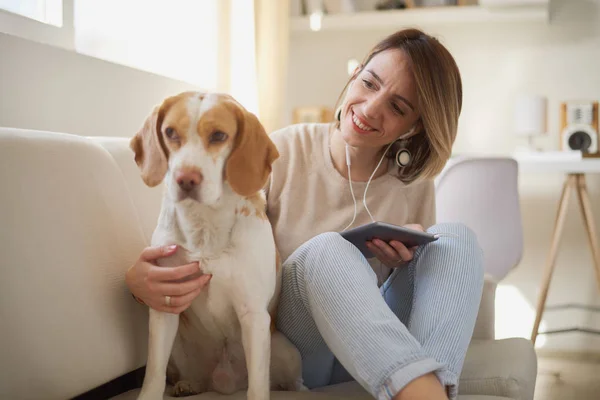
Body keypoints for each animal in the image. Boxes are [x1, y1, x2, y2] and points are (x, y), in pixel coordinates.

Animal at [131, 91, 304, 400]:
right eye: (170, 132)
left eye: (219, 135)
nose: (185, 179)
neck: (204, 227)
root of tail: (223, 383)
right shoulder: (164, 309)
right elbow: (153, 374)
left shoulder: (252, 315)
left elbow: (258, 387)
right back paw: (188, 385)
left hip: (286, 349)